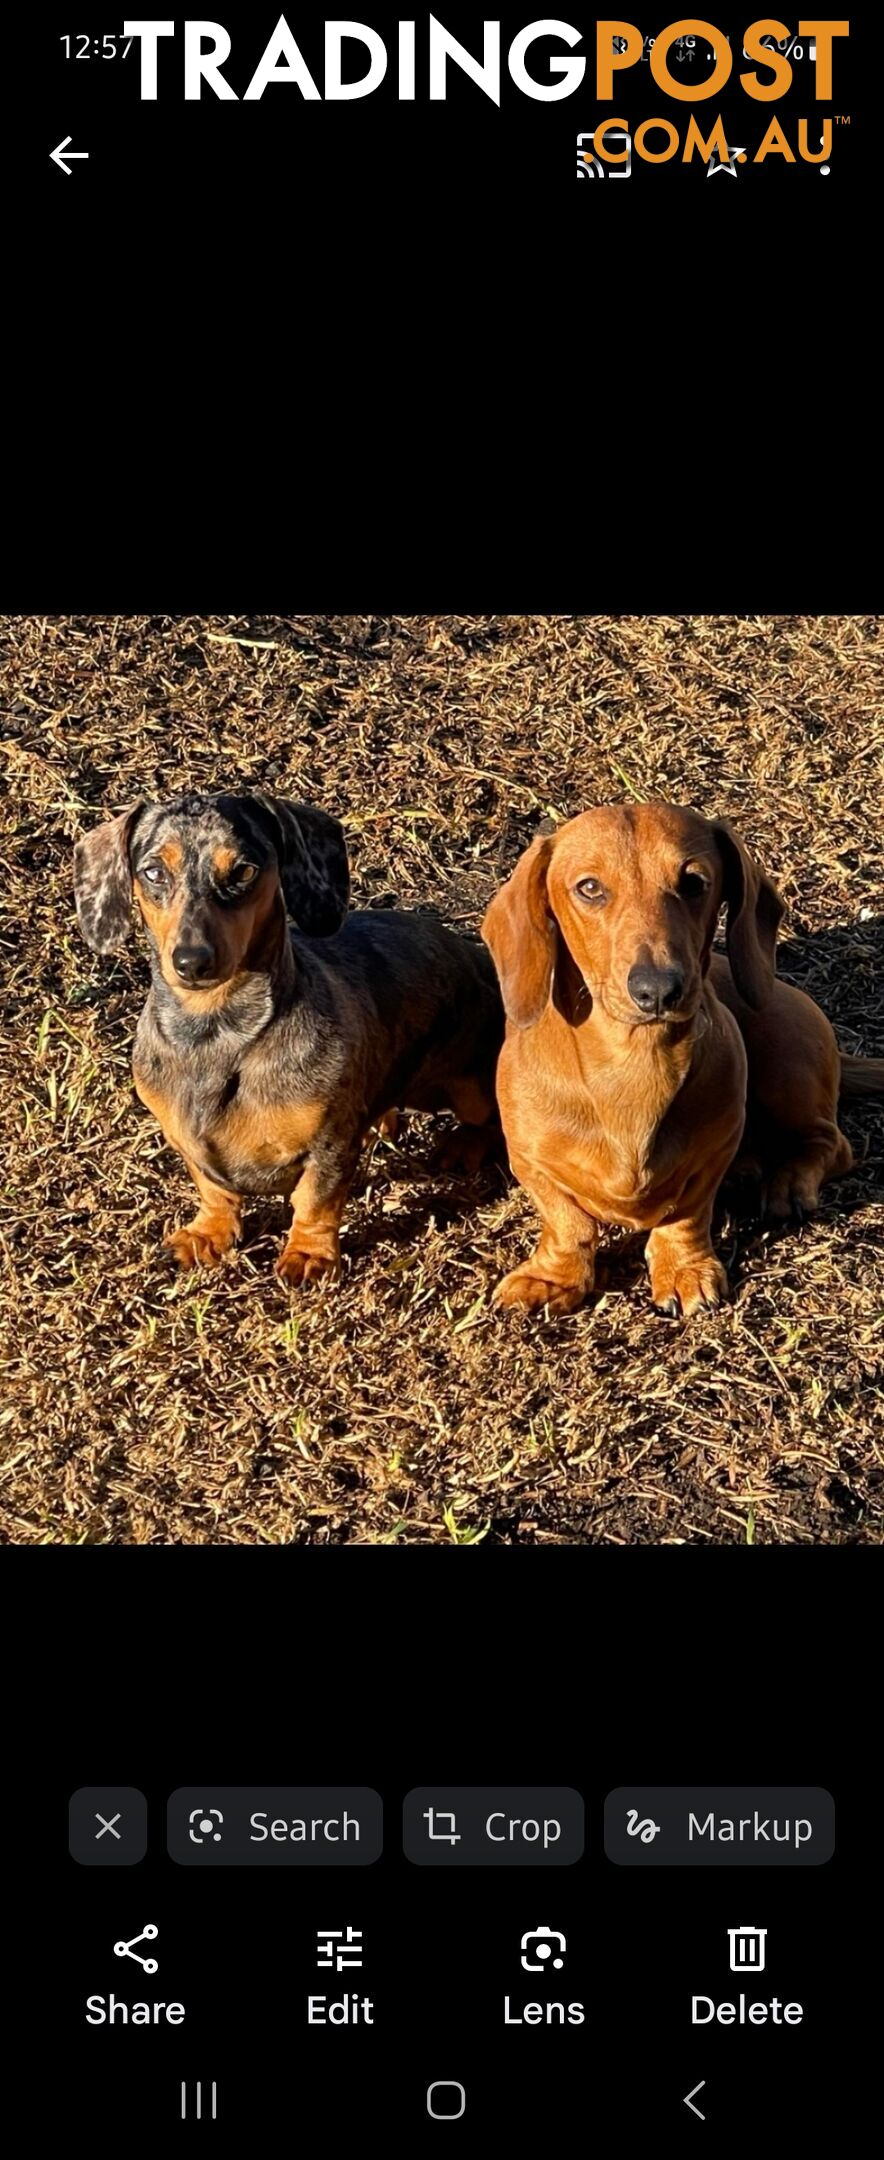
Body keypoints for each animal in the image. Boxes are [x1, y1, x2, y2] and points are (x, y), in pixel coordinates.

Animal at [74, 794, 503, 1278]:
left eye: (243, 871)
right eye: (153, 872)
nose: (192, 961)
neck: (216, 1035)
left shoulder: (327, 1145)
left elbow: (315, 1199)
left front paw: (309, 1253)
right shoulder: (188, 1141)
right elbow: (213, 1189)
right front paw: (210, 1233)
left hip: (470, 1085)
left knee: (489, 1120)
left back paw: (463, 1145)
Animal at [481, 803, 881, 1313]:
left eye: (693, 882)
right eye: (589, 888)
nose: (657, 990)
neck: (631, 1061)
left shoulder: (713, 1153)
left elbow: (687, 1215)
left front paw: (684, 1269)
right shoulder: (530, 1162)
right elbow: (568, 1224)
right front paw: (551, 1276)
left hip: (786, 1070)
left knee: (830, 1142)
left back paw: (788, 1183)